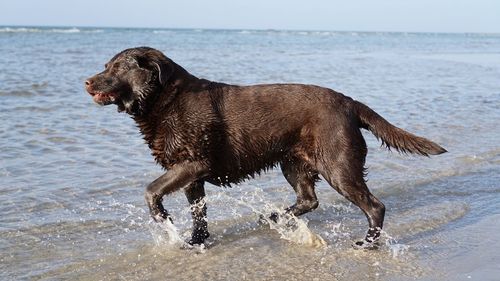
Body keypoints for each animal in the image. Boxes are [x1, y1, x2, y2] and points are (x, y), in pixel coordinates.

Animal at [84, 46, 448, 247]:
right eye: (105, 66)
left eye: (116, 68)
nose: (86, 81)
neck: (165, 99)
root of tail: (349, 102)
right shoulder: (191, 177)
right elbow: (199, 214)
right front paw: (196, 243)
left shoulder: (193, 164)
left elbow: (151, 190)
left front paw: (162, 218)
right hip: (293, 163)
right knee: (309, 200)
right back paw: (274, 216)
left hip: (339, 165)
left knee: (374, 206)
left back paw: (367, 244)